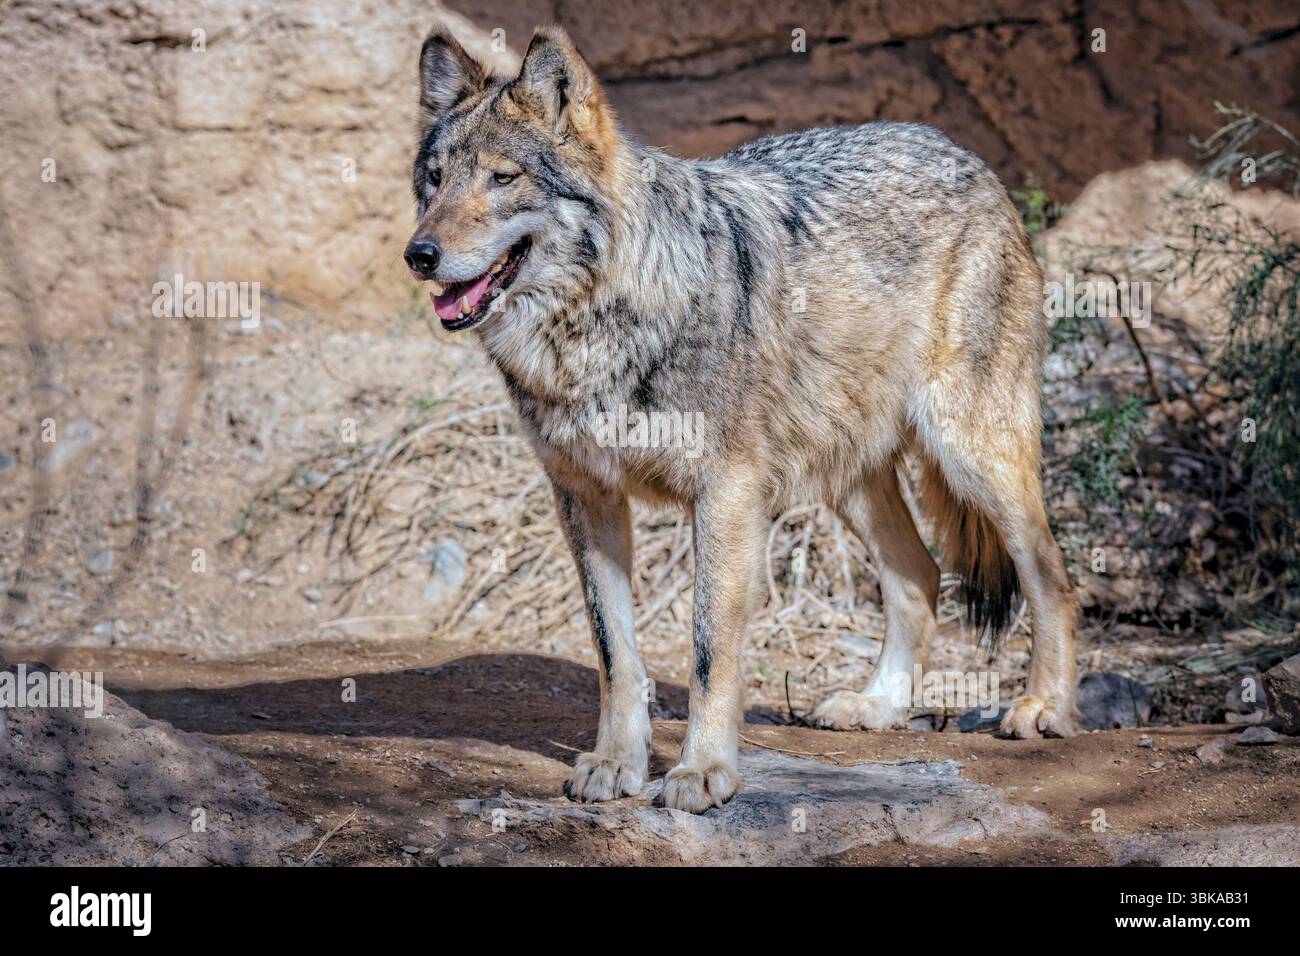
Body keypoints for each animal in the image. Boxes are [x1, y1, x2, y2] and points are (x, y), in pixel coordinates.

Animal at [404, 25, 1079, 813]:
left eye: (502, 179)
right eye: (433, 181)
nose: (419, 255)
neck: (598, 326)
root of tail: (964, 154)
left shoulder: (724, 495)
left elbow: (708, 650)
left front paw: (702, 772)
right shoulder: (585, 498)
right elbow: (615, 652)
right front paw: (617, 764)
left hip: (972, 456)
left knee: (1051, 576)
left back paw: (1043, 709)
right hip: (849, 480)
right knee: (919, 574)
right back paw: (878, 706)